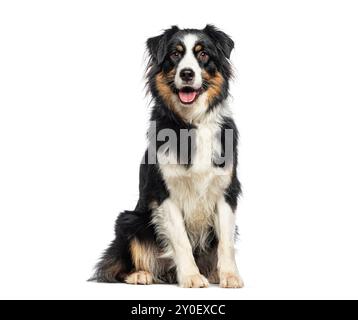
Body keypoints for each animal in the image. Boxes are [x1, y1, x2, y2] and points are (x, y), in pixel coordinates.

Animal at [91, 25, 245, 288]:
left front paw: (230, 276)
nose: (186, 73)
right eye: (175, 54)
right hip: (129, 220)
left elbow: (226, 242)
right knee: (115, 265)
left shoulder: (226, 190)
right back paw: (140, 274)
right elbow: (181, 241)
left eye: (203, 54)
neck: (191, 123)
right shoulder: (164, 193)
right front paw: (192, 277)